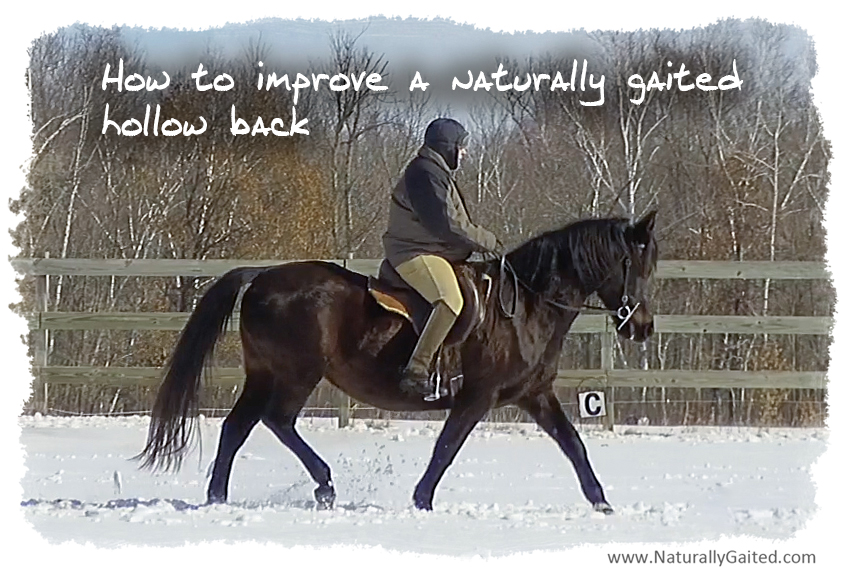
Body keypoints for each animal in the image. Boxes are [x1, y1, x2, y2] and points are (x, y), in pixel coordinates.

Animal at [137, 211, 658, 513]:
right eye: (635, 264)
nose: (642, 327)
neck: (527, 304)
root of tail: (263, 275)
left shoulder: (535, 395)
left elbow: (574, 445)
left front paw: (602, 504)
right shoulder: (477, 396)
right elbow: (446, 448)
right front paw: (422, 501)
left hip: (263, 374)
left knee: (237, 427)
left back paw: (218, 498)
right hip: (295, 374)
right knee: (276, 420)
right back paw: (323, 485)